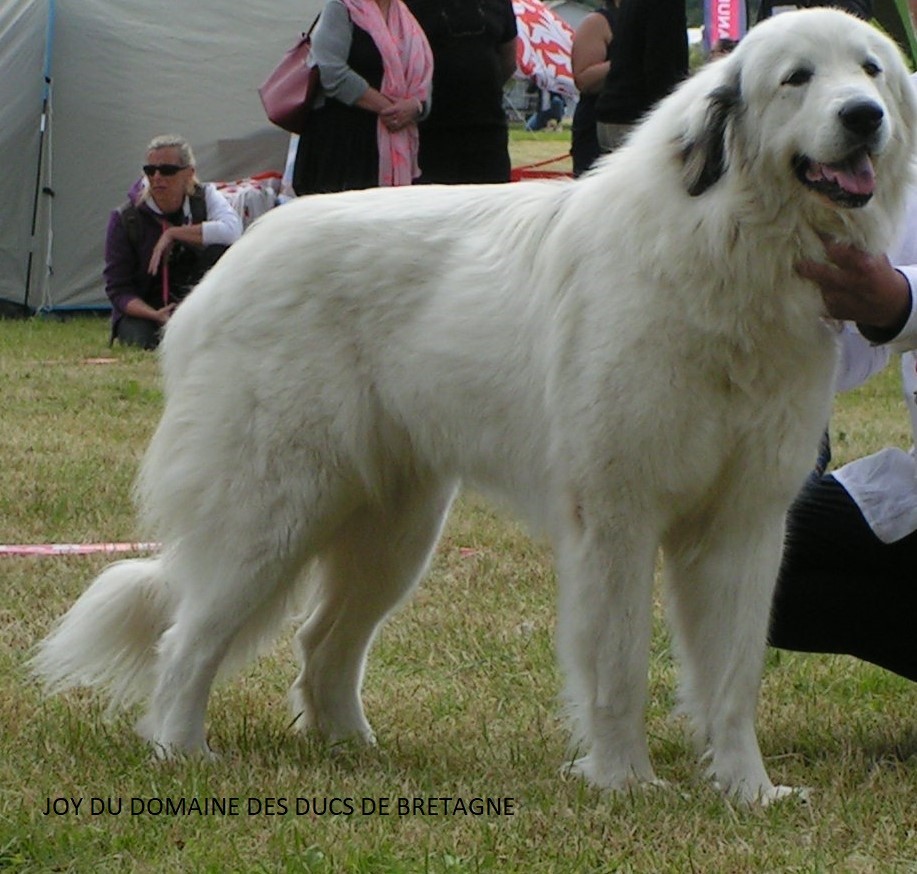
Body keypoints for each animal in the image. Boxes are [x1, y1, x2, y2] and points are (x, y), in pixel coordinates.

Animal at [30, 11, 916, 804]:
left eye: (869, 71)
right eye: (796, 78)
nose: (862, 117)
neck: (732, 246)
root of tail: (226, 267)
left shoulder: (743, 523)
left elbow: (732, 678)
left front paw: (746, 790)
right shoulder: (616, 517)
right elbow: (619, 664)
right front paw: (624, 783)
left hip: (395, 528)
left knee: (322, 640)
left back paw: (354, 749)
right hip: (270, 512)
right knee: (189, 637)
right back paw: (182, 752)